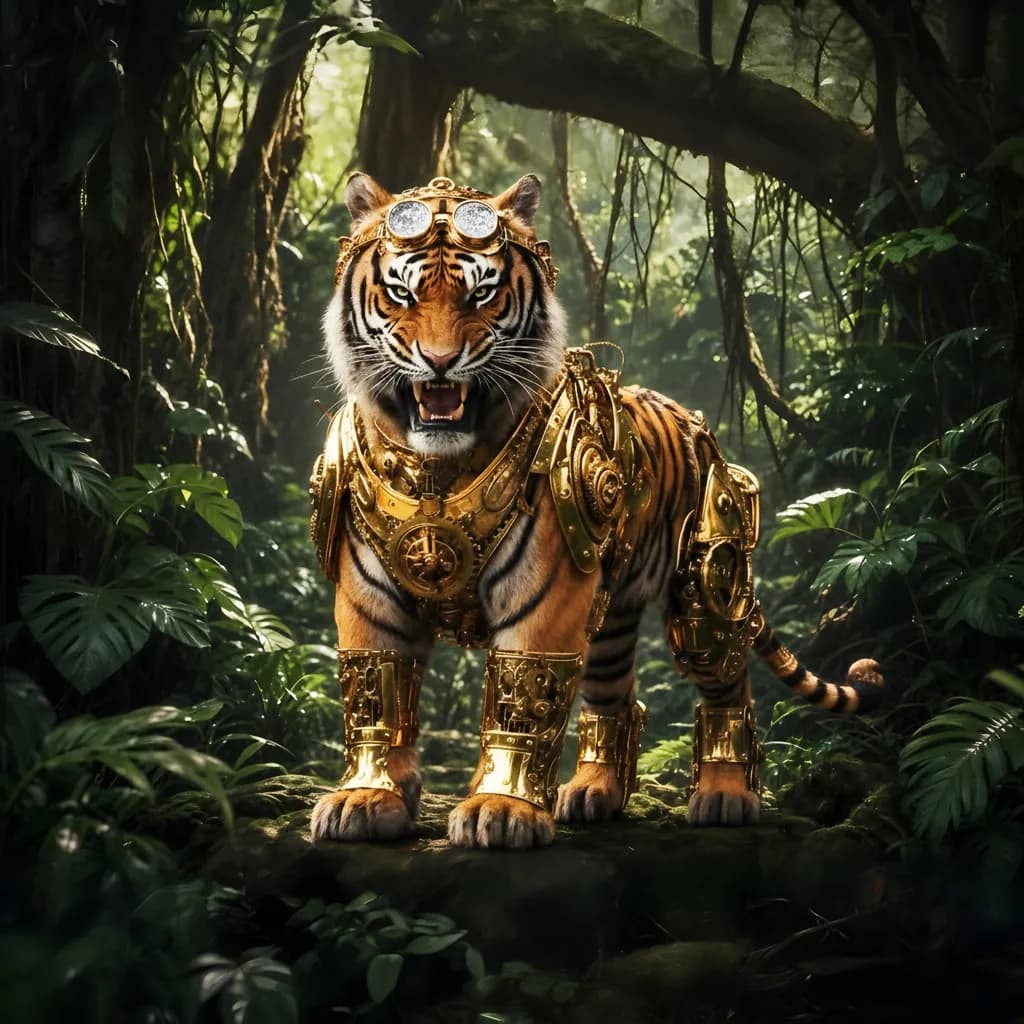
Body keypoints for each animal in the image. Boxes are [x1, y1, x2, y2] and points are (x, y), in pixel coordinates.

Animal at [309, 171, 883, 850]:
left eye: (482, 294)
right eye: (401, 292)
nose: (441, 361)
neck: (437, 466)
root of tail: (697, 423)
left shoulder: (542, 595)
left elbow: (521, 701)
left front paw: (500, 809)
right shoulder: (370, 597)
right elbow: (375, 696)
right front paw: (366, 797)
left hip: (707, 591)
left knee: (727, 686)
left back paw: (725, 795)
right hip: (611, 614)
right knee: (616, 699)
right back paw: (590, 792)